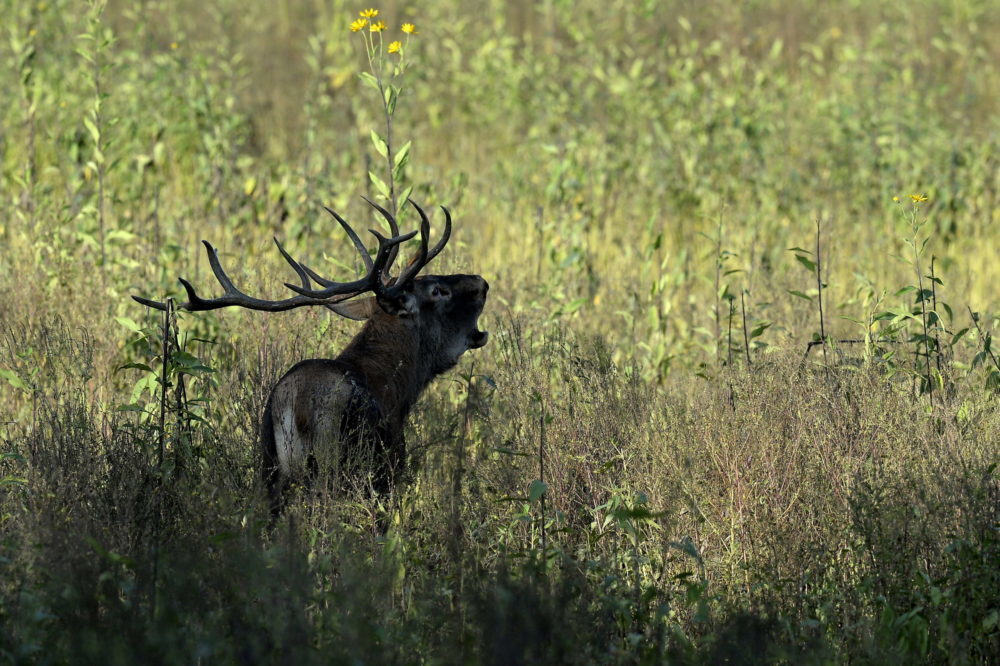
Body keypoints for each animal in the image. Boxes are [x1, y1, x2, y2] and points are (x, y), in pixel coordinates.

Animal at [135, 196, 490, 508]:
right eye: (438, 290)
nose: (482, 283)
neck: (400, 388)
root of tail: (296, 404)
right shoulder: (386, 472)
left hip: (269, 468)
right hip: (333, 464)